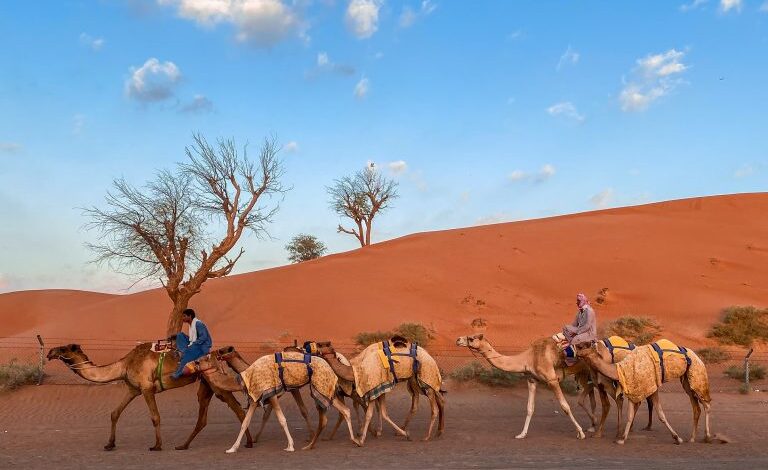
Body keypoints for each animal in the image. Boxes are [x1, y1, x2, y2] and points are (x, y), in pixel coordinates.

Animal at [46, 344, 254, 450]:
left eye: (63, 349)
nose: (49, 352)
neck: (124, 366)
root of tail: (216, 356)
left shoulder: (146, 388)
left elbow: (155, 417)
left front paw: (157, 445)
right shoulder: (133, 389)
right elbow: (114, 413)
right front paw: (110, 444)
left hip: (216, 384)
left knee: (238, 410)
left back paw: (249, 442)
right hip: (207, 385)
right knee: (203, 418)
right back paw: (183, 445)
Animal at [192, 352, 360, 452]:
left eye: (206, 357)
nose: (195, 362)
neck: (244, 378)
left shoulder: (270, 393)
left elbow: (282, 419)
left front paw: (290, 446)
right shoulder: (255, 397)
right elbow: (245, 422)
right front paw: (232, 448)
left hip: (321, 386)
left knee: (337, 411)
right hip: (324, 388)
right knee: (344, 410)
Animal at [316, 340, 444, 442]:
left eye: (319, 346)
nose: (309, 348)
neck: (356, 370)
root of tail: (430, 357)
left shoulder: (374, 387)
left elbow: (370, 412)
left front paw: (364, 436)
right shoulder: (374, 390)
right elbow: (374, 411)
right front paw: (366, 434)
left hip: (426, 378)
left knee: (434, 408)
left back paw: (427, 436)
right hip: (415, 381)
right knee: (422, 404)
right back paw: (435, 431)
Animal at [456, 332, 592, 438]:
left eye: (472, 338)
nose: (458, 339)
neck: (529, 358)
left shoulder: (552, 379)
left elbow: (565, 406)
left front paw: (580, 433)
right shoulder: (532, 380)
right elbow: (530, 408)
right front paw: (522, 434)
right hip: (585, 373)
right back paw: (593, 425)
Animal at [576, 338, 712, 444]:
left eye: (585, 344)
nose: (575, 348)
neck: (620, 369)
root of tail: (697, 356)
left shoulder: (651, 386)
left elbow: (661, 414)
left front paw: (677, 438)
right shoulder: (633, 387)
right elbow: (630, 414)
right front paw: (622, 439)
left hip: (697, 375)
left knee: (706, 404)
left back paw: (707, 437)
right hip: (687, 381)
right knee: (696, 408)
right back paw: (692, 438)